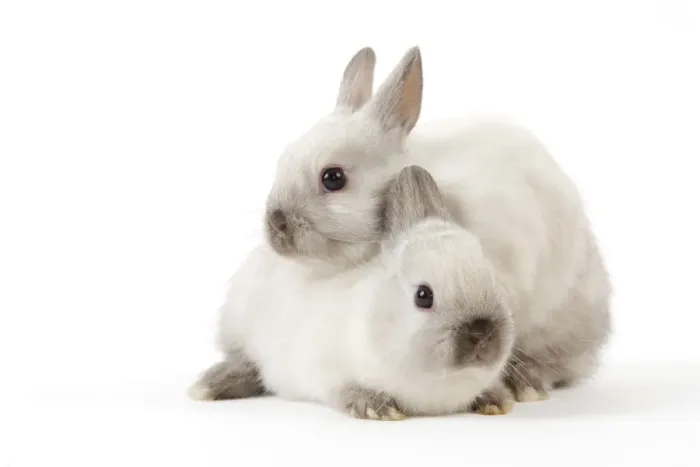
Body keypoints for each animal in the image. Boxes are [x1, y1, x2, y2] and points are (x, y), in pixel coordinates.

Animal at [189, 166, 516, 420]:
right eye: (423, 296)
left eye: (492, 280)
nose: (482, 333)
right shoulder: (325, 370)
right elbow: (345, 389)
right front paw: (375, 407)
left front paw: (497, 400)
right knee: (245, 364)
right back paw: (207, 387)